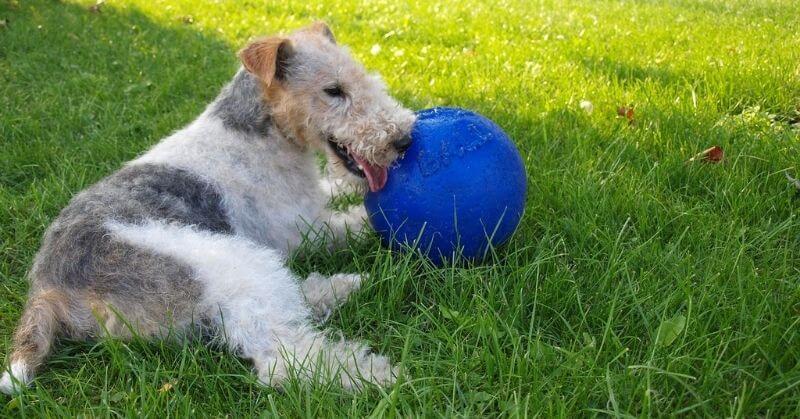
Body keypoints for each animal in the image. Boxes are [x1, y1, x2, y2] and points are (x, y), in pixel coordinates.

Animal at [3, 22, 418, 398]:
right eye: (333, 90)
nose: (403, 139)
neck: (257, 132)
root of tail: (47, 286)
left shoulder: (311, 202)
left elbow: (336, 188)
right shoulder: (304, 229)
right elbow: (359, 221)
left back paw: (339, 288)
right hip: (224, 260)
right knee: (281, 357)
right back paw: (378, 375)